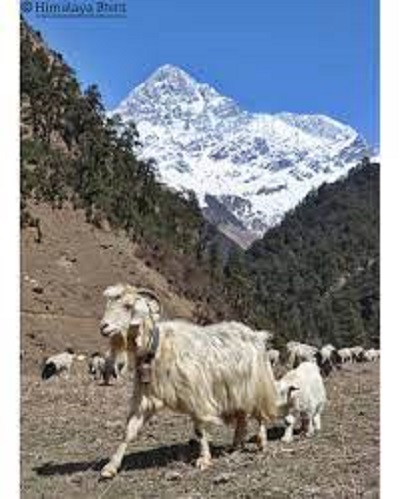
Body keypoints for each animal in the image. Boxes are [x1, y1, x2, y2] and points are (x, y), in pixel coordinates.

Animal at [99, 284, 278, 478]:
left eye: (128, 306)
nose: (103, 327)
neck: (158, 347)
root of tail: (256, 334)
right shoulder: (145, 398)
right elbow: (129, 432)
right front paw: (111, 466)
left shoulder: (197, 397)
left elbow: (200, 430)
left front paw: (204, 459)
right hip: (237, 390)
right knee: (242, 417)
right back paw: (236, 445)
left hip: (258, 384)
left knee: (260, 414)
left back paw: (261, 442)